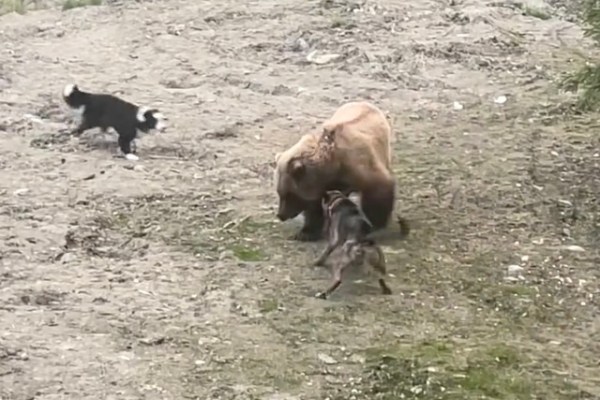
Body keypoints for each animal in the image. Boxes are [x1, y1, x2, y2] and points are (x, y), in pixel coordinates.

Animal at [274, 101, 396, 242]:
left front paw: (375, 224)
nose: (281, 215)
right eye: (279, 192)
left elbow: (379, 189)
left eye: (289, 194)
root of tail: (363, 102)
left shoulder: (358, 165)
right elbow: (313, 207)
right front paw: (306, 233)